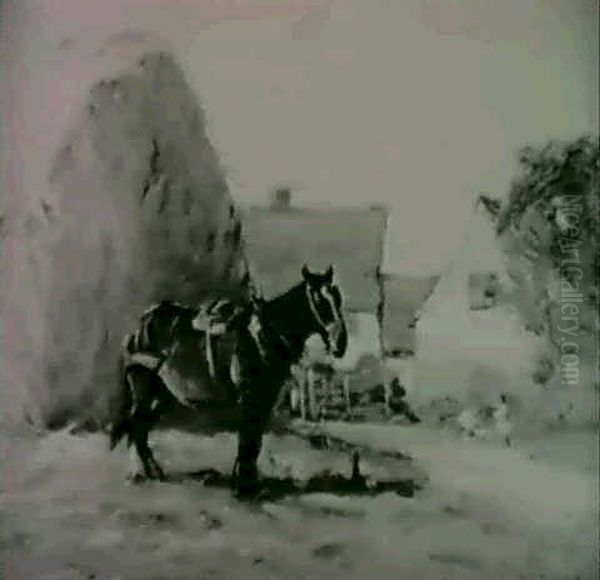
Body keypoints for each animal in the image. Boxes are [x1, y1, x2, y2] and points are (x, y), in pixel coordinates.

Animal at [108, 266, 346, 496]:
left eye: (337, 297)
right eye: (319, 300)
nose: (340, 343)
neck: (263, 336)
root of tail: (141, 326)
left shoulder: (264, 399)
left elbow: (253, 442)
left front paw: (248, 482)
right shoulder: (249, 398)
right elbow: (247, 440)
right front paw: (243, 485)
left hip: (163, 395)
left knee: (141, 427)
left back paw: (150, 472)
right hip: (143, 389)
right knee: (136, 424)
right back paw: (141, 473)